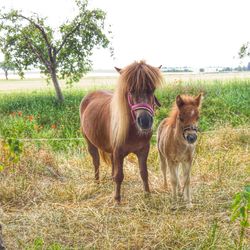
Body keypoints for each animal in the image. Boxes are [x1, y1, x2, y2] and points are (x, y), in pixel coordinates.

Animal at [79, 61, 163, 203]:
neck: (133, 131)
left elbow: (144, 173)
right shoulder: (118, 151)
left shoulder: (143, 150)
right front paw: (117, 199)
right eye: (131, 90)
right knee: (96, 161)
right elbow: (119, 176)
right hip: (89, 142)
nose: (145, 121)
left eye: (152, 89)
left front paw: (147, 195)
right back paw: (97, 183)